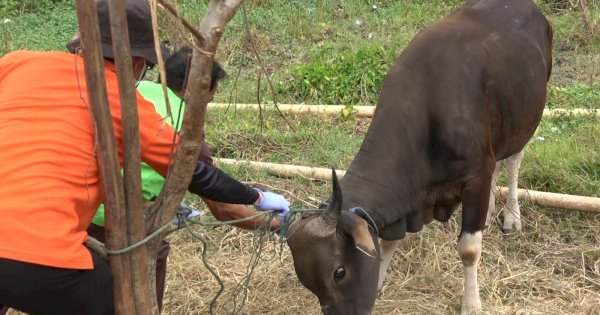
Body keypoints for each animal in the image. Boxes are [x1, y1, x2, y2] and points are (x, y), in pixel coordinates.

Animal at [286, 1, 552, 314]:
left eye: (338, 272)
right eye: (306, 280)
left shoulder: (475, 176)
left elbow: (469, 249)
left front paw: (471, 303)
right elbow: (388, 242)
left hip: (525, 120)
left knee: (513, 162)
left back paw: (511, 214)